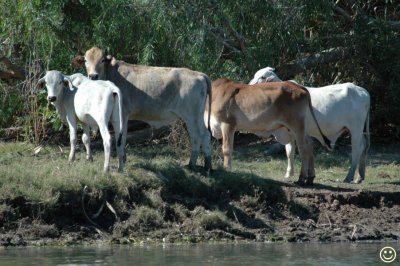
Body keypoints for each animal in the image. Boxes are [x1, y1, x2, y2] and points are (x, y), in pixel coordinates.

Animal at [73, 46, 214, 171]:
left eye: (102, 60)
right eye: (86, 60)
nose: (93, 76)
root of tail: (199, 74)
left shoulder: (123, 113)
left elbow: (121, 137)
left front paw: (121, 160)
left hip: (192, 116)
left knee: (200, 136)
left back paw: (196, 166)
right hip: (196, 116)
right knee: (201, 136)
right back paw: (203, 166)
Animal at [203, 77, 332, 185]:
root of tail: (299, 87)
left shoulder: (228, 124)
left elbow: (227, 149)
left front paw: (227, 170)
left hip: (297, 125)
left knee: (303, 149)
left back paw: (301, 178)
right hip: (297, 128)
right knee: (309, 145)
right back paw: (310, 178)